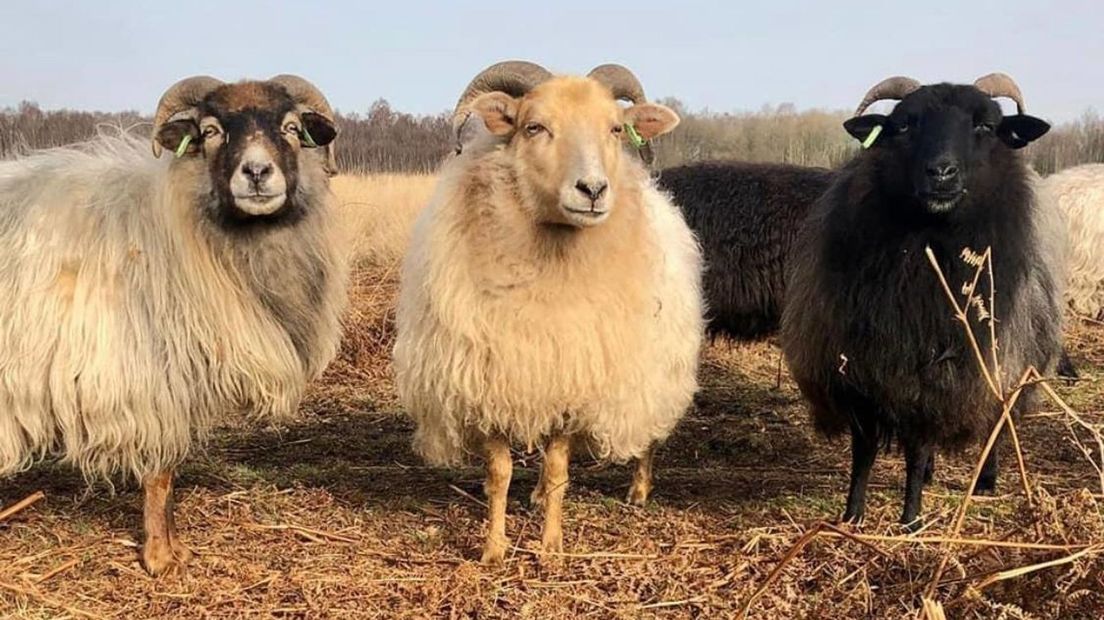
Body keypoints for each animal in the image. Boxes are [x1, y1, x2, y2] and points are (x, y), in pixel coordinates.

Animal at [0, 75, 344, 573]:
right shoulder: (146, 383)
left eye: (292, 127)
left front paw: (174, 546)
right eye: (210, 131)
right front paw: (161, 557)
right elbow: (159, 476)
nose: (257, 173)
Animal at [395, 60, 706, 562]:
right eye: (534, 127)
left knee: (647, 432)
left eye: (615, 129)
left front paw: (551, 548)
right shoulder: (497, 380)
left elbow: (560, 469)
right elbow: (500, 475)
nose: (593, 190)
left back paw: (638, 489)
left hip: (656, 365)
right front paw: (494, 549)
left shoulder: (570, 386)